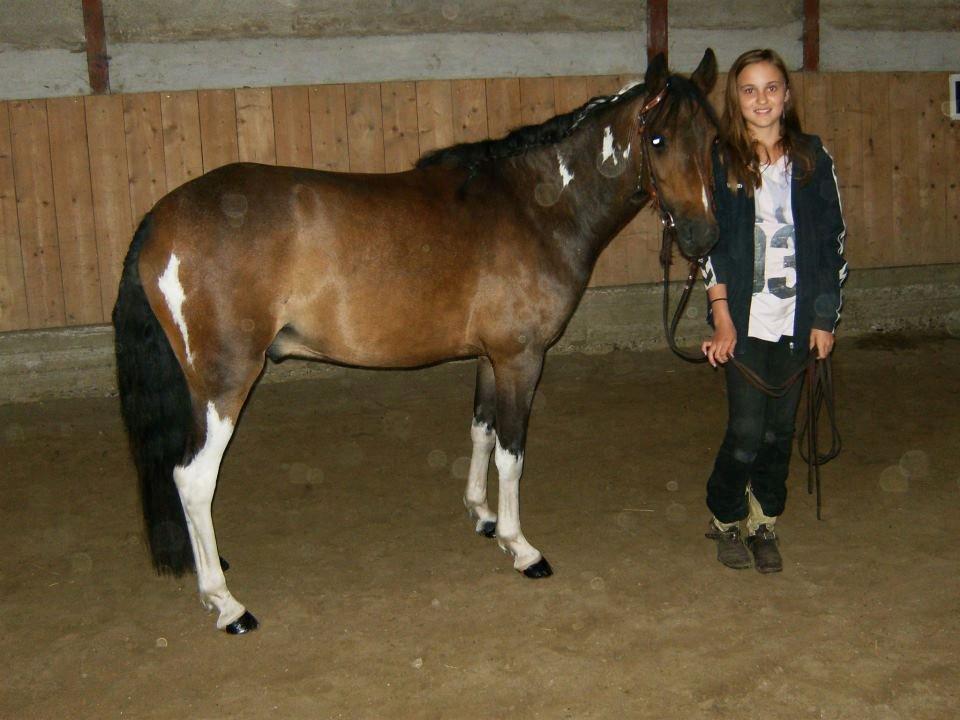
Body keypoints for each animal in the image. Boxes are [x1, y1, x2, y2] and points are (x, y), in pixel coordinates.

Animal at [112, 52, 720, 636]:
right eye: (658, 140)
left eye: (713, 139)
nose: (702, 238)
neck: (536, 207)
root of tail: (160, 217)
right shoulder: (521, 359)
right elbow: (512, 454)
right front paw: (522, 548)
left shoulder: (489, 358)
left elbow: (481, 431)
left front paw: (484, 517)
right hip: (225, 385)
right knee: (193, 479)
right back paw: (227, 604)